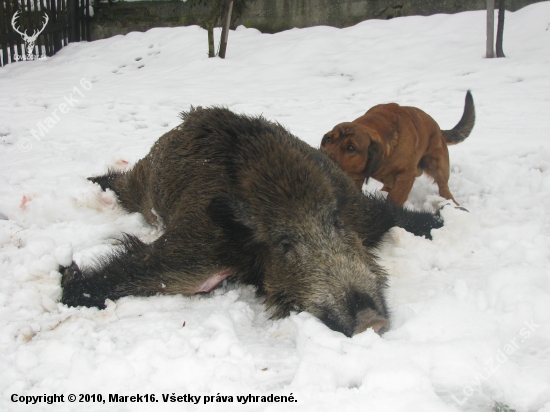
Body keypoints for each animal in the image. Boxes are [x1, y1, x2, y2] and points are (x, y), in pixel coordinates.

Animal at [322, 91, 476, 204]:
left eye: (351, 147)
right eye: (329, 139)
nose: (323, 156)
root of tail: (438, 129)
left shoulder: (406, 176)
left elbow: (395, 199)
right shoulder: (354, 177)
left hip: (437, 163)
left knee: (444, 187)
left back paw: (452, 202)